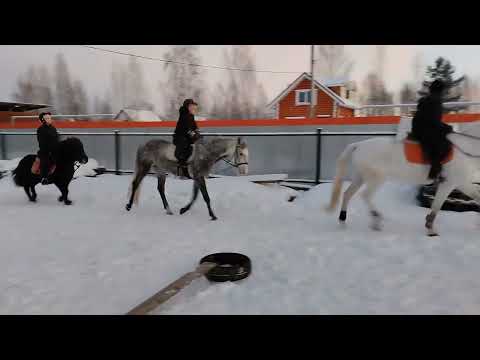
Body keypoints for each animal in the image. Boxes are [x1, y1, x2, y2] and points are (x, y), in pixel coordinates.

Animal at [326, 127, 480, 236]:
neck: (466, 151)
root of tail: (358, 145)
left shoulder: (462, 184)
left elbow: (477, 197)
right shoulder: (450, 184)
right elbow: (436, 206)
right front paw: (431, 231)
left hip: (361, 177)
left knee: (347, 194)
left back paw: (343, 221)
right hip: (376, 178)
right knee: (365, 196)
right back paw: (376, 220)